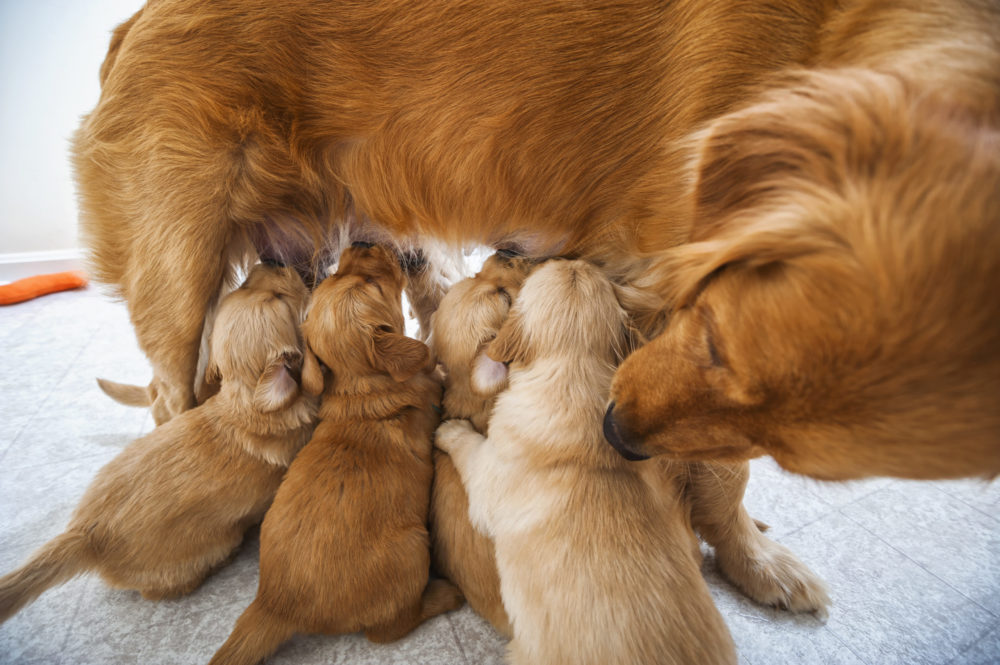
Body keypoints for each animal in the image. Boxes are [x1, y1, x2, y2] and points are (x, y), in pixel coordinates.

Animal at [0, 264, 316, 624]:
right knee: (160, 588)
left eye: (247, 284)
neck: (246, 400)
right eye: (277, 299)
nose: (272, 263)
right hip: (196, 552)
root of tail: (85, 534)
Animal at [76, 0, 1000, 478]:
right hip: (179, 276)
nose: (617, 434)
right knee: (172, 397)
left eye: (798, 460)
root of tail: (130, 23)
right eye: (708, 335)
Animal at [213, 243, 462, 664]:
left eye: (337, 275)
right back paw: (444, 594)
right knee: (389, 629)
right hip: (413, 548)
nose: (361, 242)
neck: (361, 385)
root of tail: (274, 604)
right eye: (373, 284)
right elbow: (433, 367)